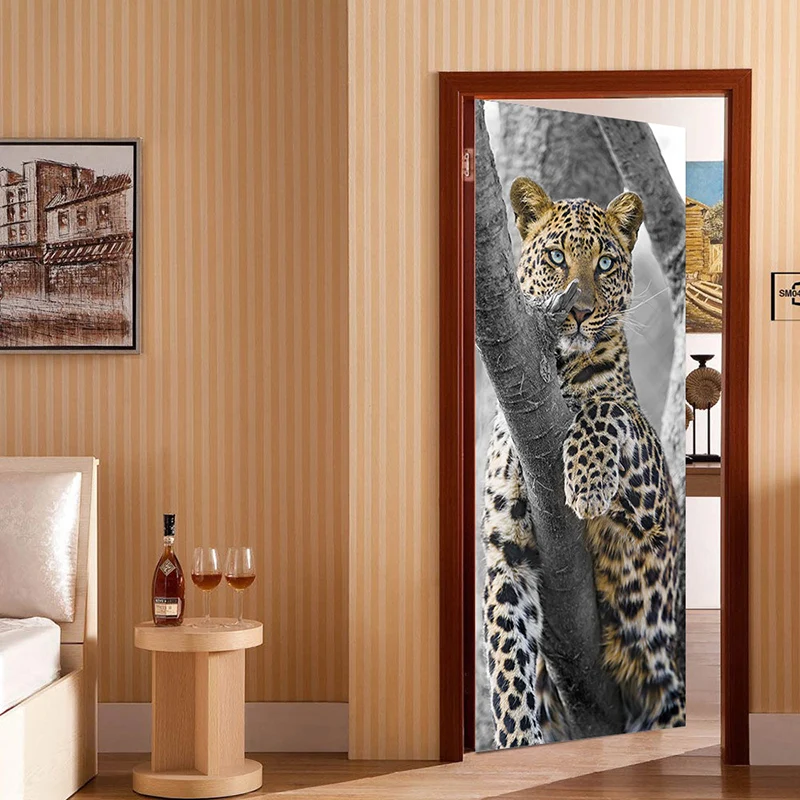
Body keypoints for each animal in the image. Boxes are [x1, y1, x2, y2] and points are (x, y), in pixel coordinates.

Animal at [481, 178, 685, 748]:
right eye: (556, 256)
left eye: (606, 263)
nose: (575, 311)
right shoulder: (505, 551)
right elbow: (507, 660)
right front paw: (517, 741)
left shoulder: (655, 513)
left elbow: (607, 407)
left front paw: (588, 483)